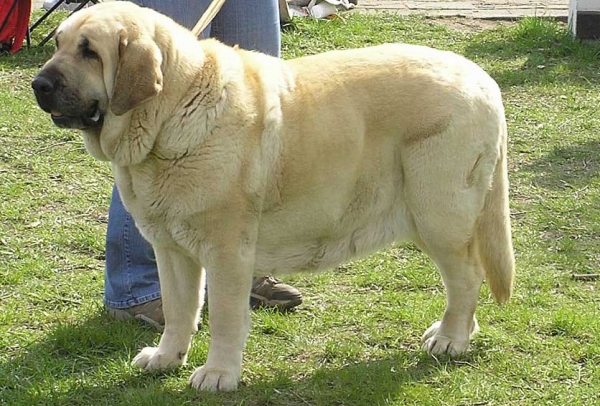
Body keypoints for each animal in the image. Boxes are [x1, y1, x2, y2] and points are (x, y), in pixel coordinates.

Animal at [31, 1, 516, 392]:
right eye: (58, 43)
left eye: (90, 52)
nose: (39, 84)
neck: (171, 112)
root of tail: (483, 80)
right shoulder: (172, 250)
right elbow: (179, 308)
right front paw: (167, 357)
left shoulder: (226, 252)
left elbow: (225, 316)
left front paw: (218, 374)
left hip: (438, 214)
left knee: (467, 277)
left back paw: (450, 339)